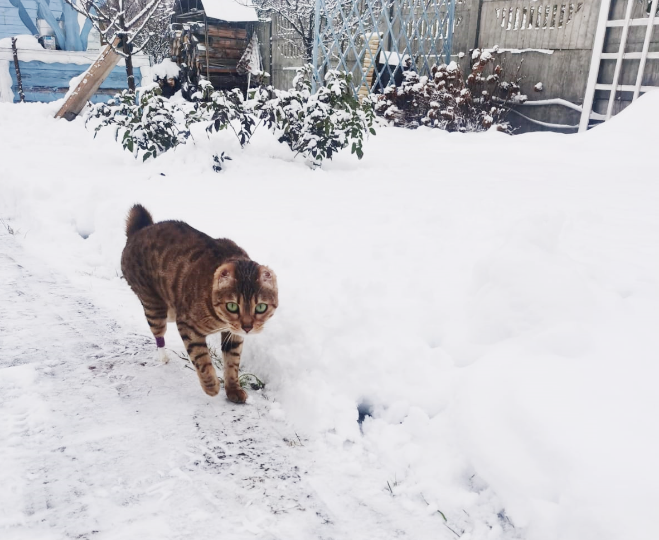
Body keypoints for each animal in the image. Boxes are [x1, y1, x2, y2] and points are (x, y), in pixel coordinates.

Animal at [121, 205, 278, 402]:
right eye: (232, 306)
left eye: (261, 307)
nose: (248, 327)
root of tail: (139, 230)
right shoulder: (188, 325)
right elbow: (201, 358)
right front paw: (211, 386)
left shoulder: (233, 335)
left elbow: (232, 362)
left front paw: (233, 389)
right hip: (154, 306)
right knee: (159, 334)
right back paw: (163, 357)